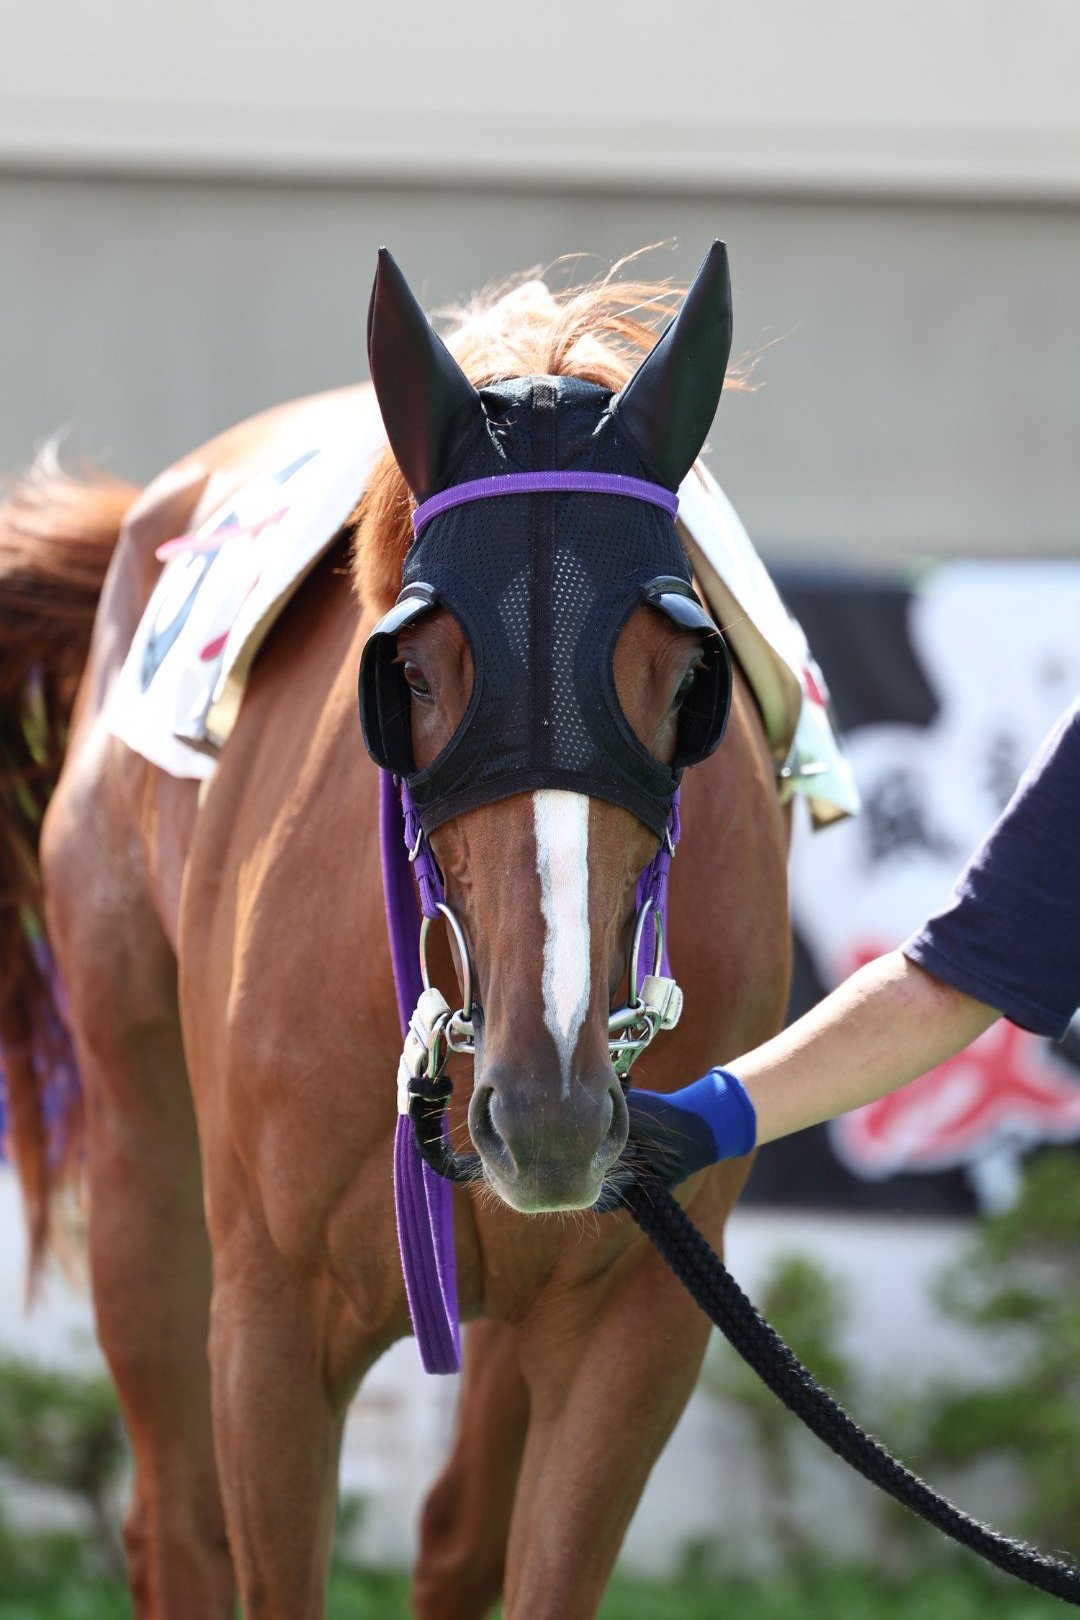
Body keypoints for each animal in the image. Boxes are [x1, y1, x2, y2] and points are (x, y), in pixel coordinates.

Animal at [0, 244, 792, 1618]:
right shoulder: (269, 1324)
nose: (552, 1112)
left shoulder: (637, 1321)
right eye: (414, 672)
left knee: (454, 1535)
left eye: (684, 680)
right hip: (142, 1156)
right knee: (177, 1528)